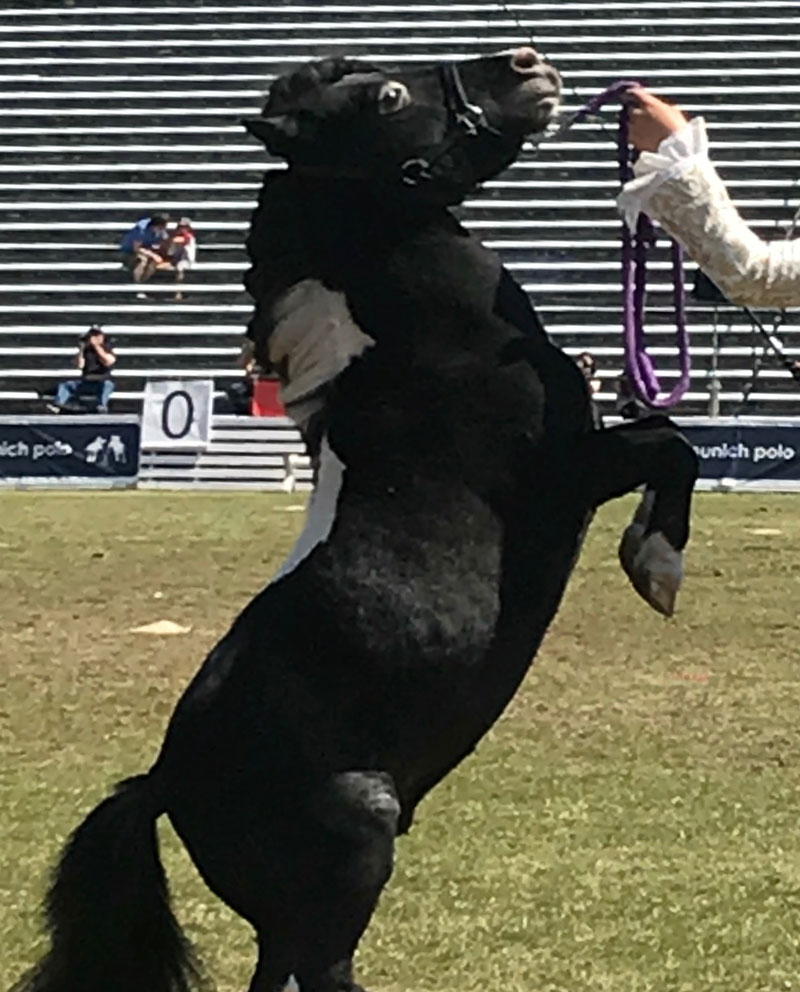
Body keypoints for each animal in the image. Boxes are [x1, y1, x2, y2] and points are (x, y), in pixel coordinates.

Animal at [11, 49, 699, 992]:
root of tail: (163, 779)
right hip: (354, 841)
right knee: (325, 967)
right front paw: (655, 567)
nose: (527, 66)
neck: (419, 346)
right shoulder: (569, 474)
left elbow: (670, 441)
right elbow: (673, 445)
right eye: (389, 96)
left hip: (290, 904)